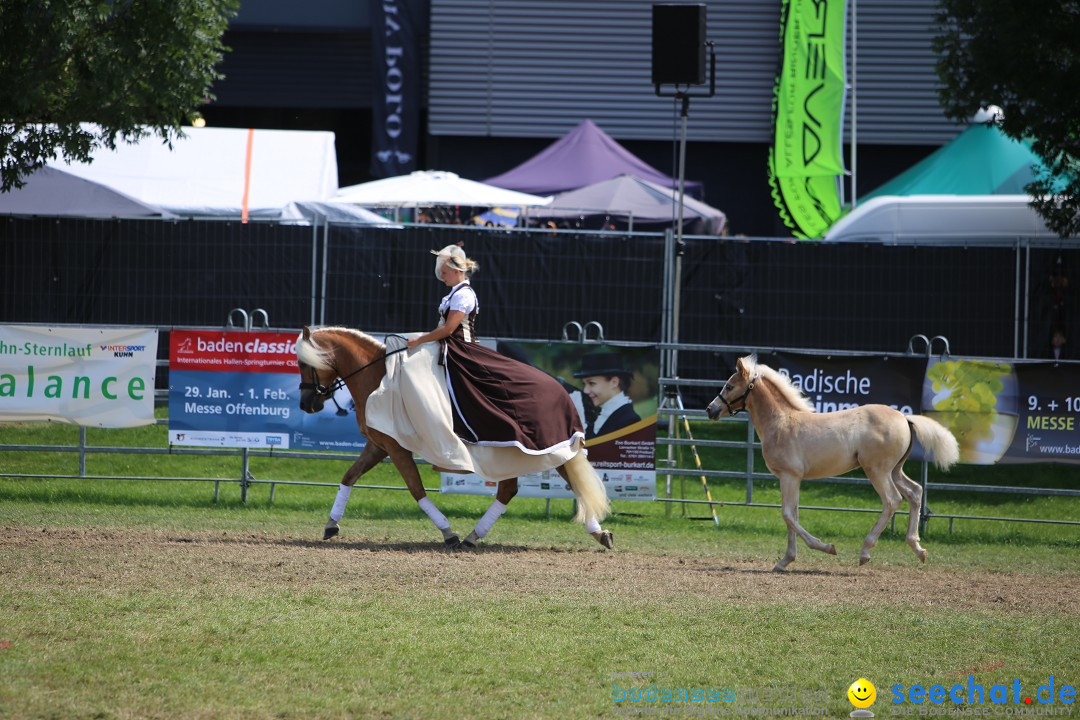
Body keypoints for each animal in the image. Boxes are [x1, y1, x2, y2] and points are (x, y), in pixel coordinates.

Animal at [295, 328, 617, 552]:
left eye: (302, 363)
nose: (306, 404)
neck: (377, 377)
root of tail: (562, 390)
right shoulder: (378, 444)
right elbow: (349, 476)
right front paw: (331, 525)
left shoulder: (396, 448)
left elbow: (416, 490)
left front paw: (448, 533)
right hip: (513, 456)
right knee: (510, 490)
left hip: (538, 449)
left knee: (564, 482)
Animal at [704, 358, 959, 569]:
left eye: (729, 386)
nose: (710, 410)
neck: (781, 423)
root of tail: (905, 418)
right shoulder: (793, 479)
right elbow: (793, 515)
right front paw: (785, 561)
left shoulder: (789, 476)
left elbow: (787, 515)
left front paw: (827, 548)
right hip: (895, 470)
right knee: (915, 492)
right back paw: (918, 548)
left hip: (877, 470)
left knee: (892, 500)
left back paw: (865, 552)